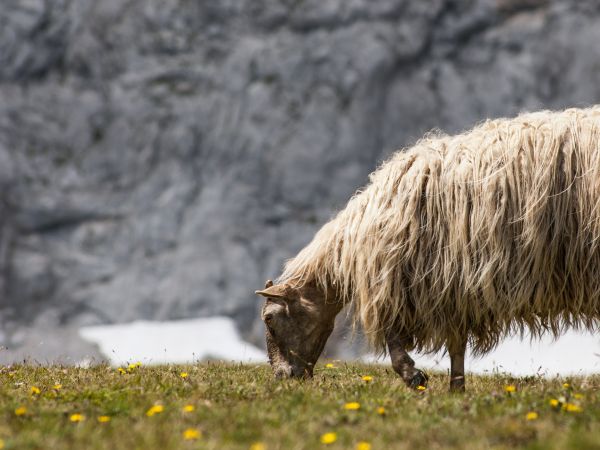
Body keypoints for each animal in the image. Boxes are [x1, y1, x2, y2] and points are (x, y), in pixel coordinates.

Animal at [254, 106, 600, 390]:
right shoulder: (453, 287)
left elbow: (394, 338)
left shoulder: (411, 281)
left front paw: (413, 376)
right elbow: (456, 343)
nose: (284, 377)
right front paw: (456, 389)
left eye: (270, 319)